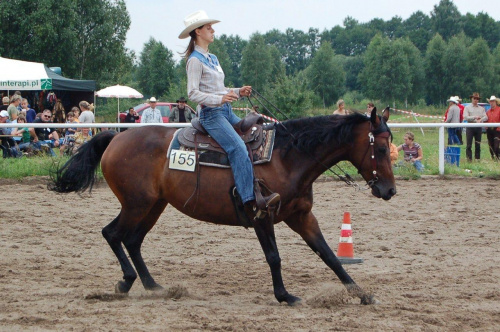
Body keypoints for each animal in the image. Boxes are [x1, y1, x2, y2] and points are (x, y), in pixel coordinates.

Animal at [48, 107, 396, 304]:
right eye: (380, 148)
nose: (389, 190)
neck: (288, 157)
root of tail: (116, 138)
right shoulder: (262, 215)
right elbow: (274, 257)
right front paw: (285, 296)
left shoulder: (301, 216)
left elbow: (329, 255)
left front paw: (360, 294)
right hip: (137, 204)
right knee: (112, 234)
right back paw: (127, 281)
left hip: (154, 205)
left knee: (132, 240)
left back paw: (153, 285)